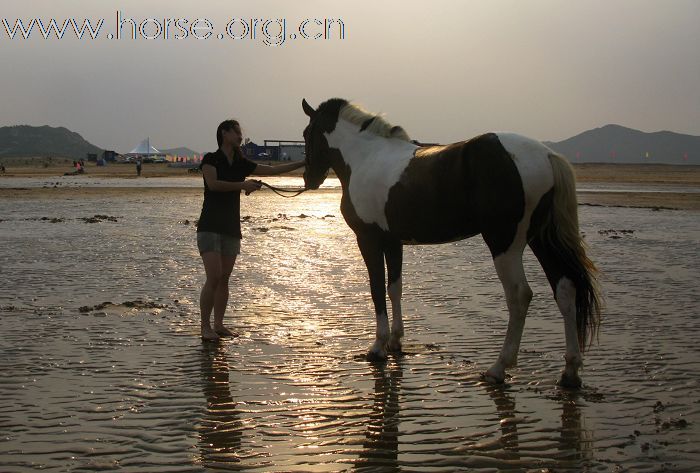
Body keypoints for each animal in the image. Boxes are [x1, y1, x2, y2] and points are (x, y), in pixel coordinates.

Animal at [300, 97, 600, 388]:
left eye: (306, 134)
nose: (308, 179)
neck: (366, 157)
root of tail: (546, 155)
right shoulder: (393, 243)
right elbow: (394, 289)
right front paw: (396, 342)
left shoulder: (369, 240)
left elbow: (376, 291)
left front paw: (377, 347)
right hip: (542, 239)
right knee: (565, 289)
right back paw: (570, 372)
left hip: (504, 243)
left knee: (519, 295)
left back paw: (498, 368)